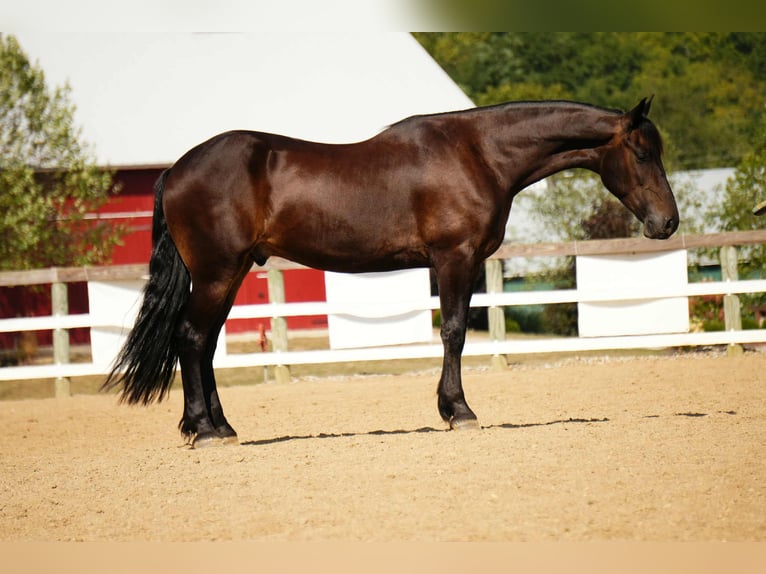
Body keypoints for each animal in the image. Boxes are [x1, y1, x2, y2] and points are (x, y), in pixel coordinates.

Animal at [104, 97, 679, 447]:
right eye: (642, 152)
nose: (667, 222)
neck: (479, 154)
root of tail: (177, 169)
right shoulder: (454, 258)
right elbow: (453, 333)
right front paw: (458, 411)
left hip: (232, 271)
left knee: (203, 343)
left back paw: (221, 426)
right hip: (218, 272)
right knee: (191, 336)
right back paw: (204, 430)